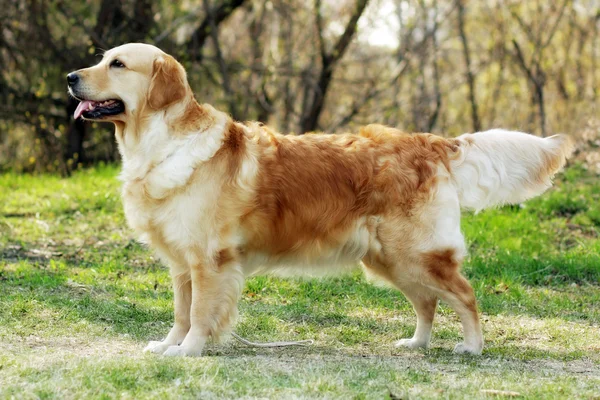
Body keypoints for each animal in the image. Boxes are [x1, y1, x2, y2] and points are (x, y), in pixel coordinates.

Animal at [65, 43, 572, 356]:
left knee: (465, 295)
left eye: (118, 65)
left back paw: (472, 346)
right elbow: (181, 311)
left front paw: (188, 351)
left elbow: (201, 313)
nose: (69, 76)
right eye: (101, 59)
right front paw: (170, 343)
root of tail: (429, 142)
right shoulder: (182, 263)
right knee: (427, 303)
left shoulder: (210, 260)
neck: (161, 141)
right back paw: (416, 344)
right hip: (389, 259)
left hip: (417, 253)